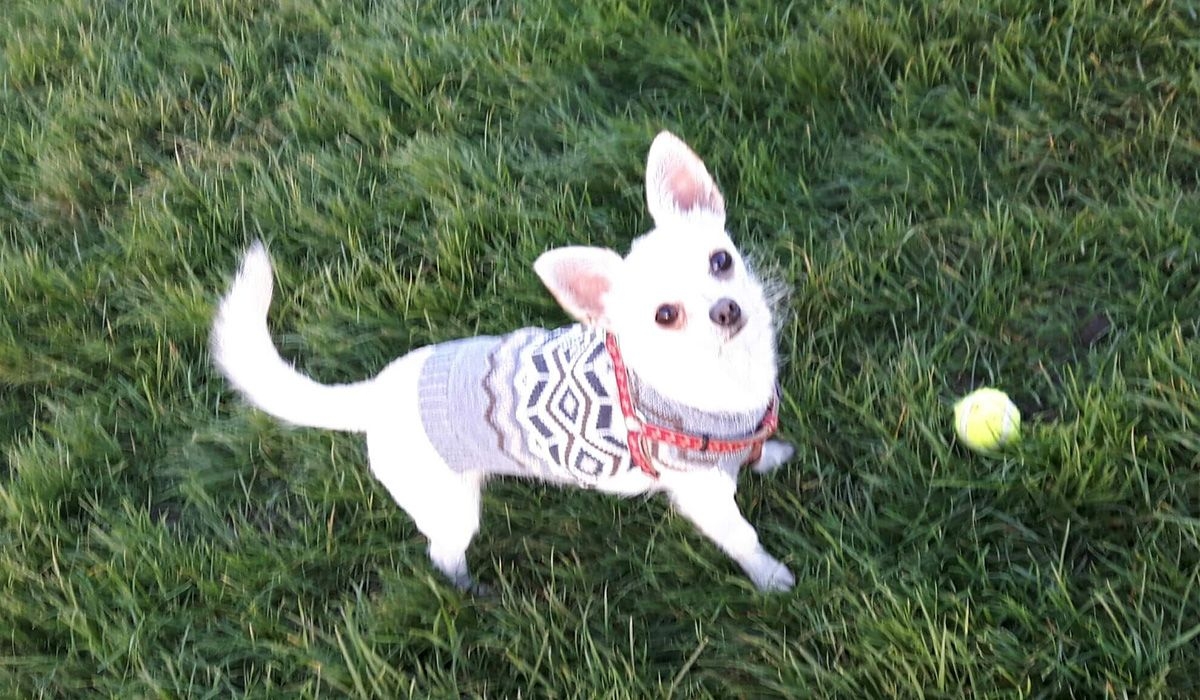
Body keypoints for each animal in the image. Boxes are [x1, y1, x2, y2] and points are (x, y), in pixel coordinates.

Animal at [213, 131, 796, 590]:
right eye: (666, 316)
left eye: (721, 261)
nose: (727, 309)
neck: (729, 374)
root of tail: (376, 392)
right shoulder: (704, 496)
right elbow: (742, 537)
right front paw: (770, 577)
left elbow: (751, 452)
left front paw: (765, 456)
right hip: (448, 509)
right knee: (442, 551)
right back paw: (468, 589)